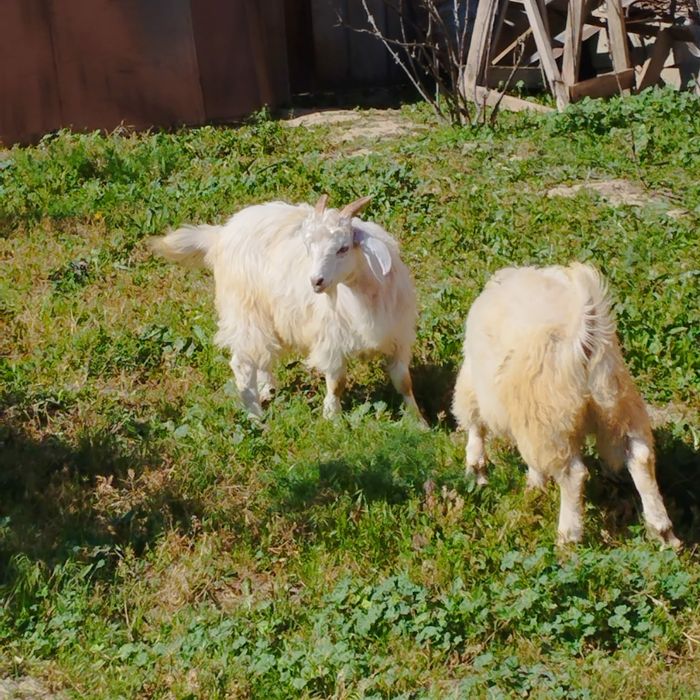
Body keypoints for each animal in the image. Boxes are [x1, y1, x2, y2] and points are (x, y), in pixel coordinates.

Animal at [151, 195, 423, 421]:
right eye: (309, 248)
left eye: (343, 248)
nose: (315, 281)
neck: (362, 297)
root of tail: (221, 235)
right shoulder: (331, 340)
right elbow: (337, 383)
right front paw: (332, 419)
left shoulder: (398, 337)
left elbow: (404, 382)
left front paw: (419, 422)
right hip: (244, 310)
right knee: (242, 362)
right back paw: (256, 418)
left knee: (262, 354)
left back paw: (267, 389)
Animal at [451, 262, 679, 547]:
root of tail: (586, 337)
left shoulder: (479, 389)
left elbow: (475, 426)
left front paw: (479, 471)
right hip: (620, 407)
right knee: (640, 457)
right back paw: (663, 532)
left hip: (551, 423)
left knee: (573, 475)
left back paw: (567, 537)